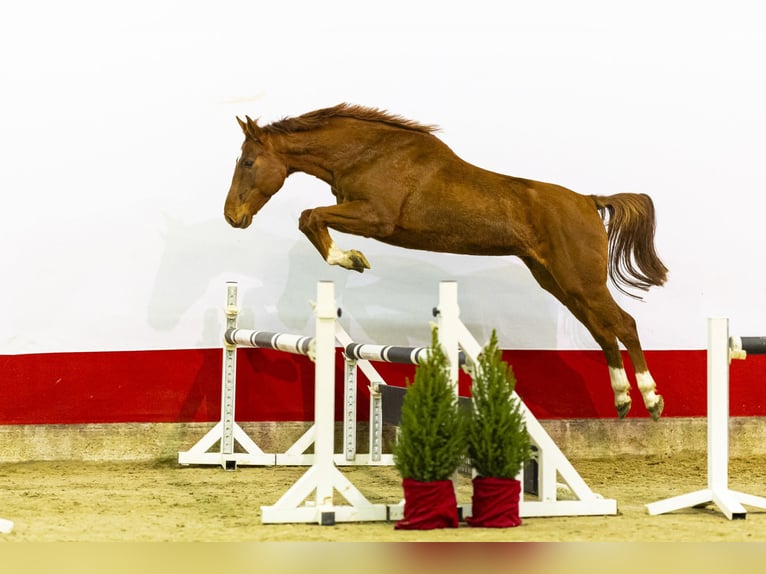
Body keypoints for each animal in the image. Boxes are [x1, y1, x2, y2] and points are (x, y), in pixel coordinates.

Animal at [224, 103, 669, 420]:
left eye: (248, 162)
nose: (232, 216)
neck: (366, 153)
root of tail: (590, 201)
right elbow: (310, 218)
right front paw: (351, 258)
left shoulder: (376, 218)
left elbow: (310, 216)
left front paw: (350, 258)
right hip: (558, 282)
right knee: (603, 332)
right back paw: (622, 400)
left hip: (580, 281)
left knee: (624, 325)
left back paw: (651, 399)